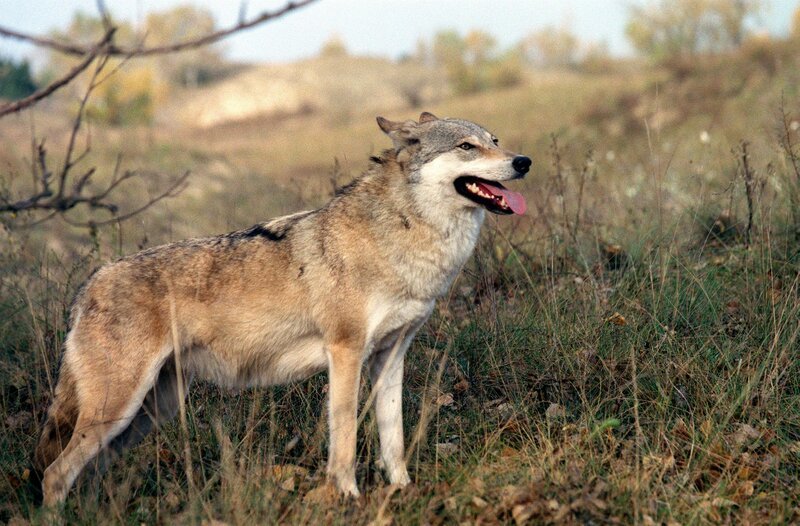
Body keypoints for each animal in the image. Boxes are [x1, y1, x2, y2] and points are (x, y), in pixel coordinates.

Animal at [34, 112, 530, 505]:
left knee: (85, 473)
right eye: (467, 147)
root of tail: (88, 286)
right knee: (55, 474)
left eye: (495, 140)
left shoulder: (390, 357)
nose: (522, 162)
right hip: (119, 411)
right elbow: (345, 438)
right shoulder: (345, 353)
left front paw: (403, 491)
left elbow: (393, 438)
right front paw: (348, 498)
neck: (401, 235)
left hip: (147, 414)